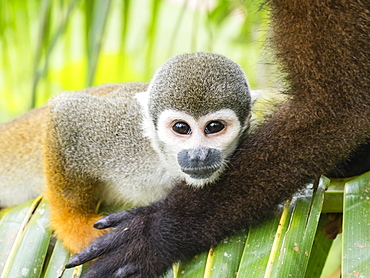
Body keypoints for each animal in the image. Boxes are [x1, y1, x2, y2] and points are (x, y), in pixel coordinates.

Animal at [0, 52, 258, 254]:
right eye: (181, 128)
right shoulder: (120, 131)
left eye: (214, 127)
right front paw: (74, 225)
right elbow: (67, 112)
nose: (198, 155)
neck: (163, 161)